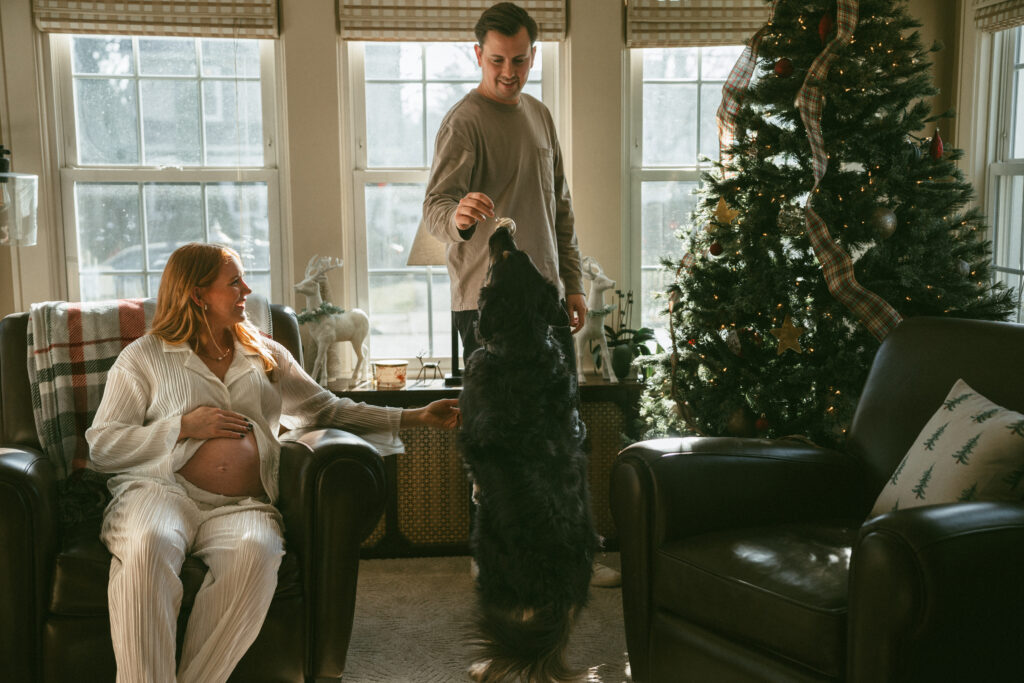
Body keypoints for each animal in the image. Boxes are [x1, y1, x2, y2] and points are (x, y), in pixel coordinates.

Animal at [458, 225, 598, 683]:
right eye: (527, 258)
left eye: (505, 258)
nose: (502, 230)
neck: (523, 343)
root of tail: (560, 583)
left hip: (487, 551)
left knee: (513, 625)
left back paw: (485, 665)